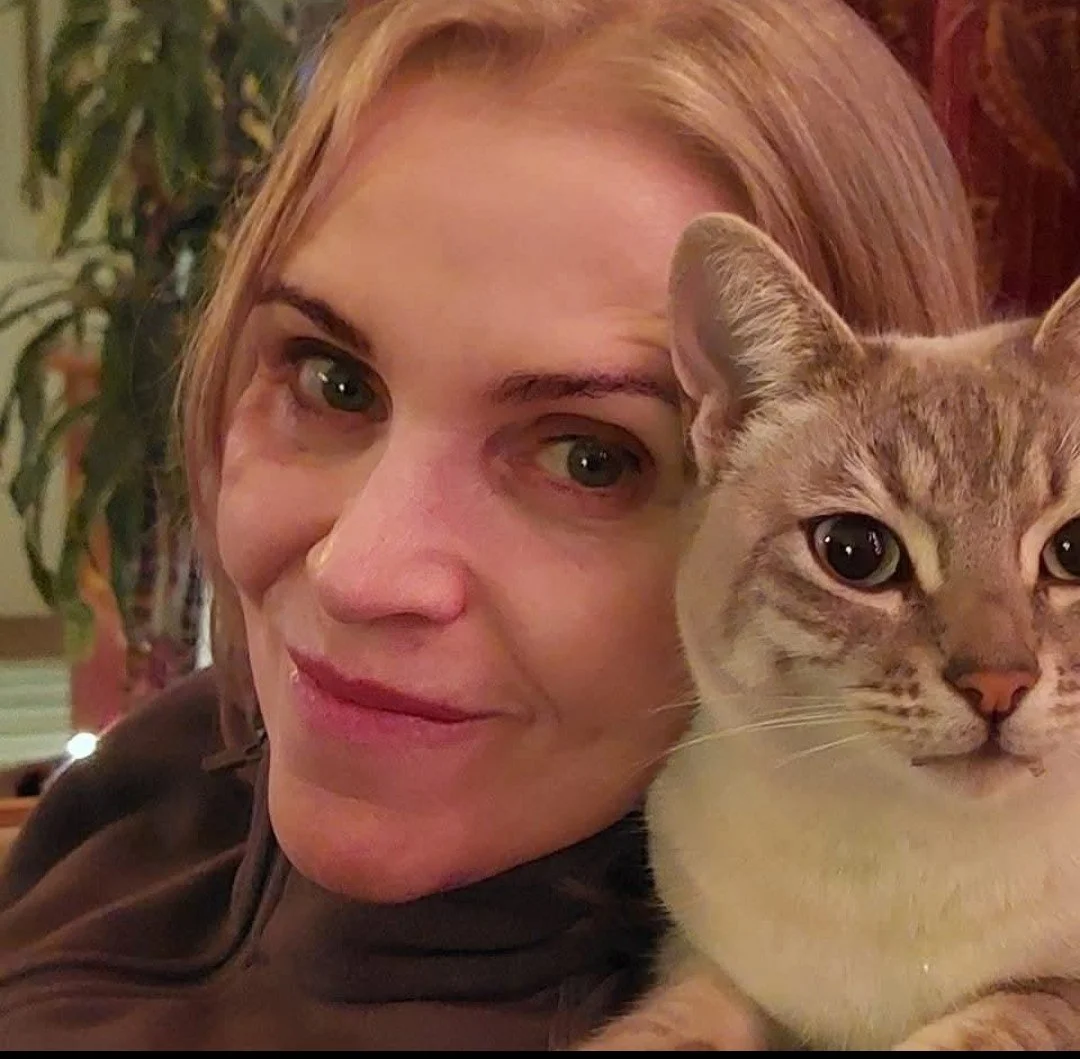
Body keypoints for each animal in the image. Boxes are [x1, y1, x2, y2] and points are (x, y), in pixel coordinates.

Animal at [582, 212, 1080, 1051]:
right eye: (855, 551)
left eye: (1074, 548)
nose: (1000, 684)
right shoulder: (705, 965)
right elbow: (662, 1029)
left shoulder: (1051, 997)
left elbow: (983, 1025)